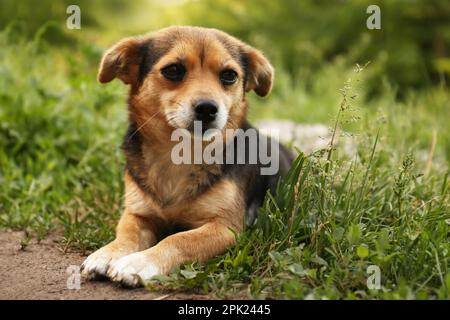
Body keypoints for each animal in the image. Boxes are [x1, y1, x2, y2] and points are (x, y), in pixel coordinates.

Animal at [81, 26, 294, 288]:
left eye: (229, 75)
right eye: (173, 70)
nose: (207, 108)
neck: (180, 154)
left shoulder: (225, 227)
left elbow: (178, 239)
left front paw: (139, 262)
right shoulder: (137, 213)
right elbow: (126, 234)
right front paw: (107, 253)